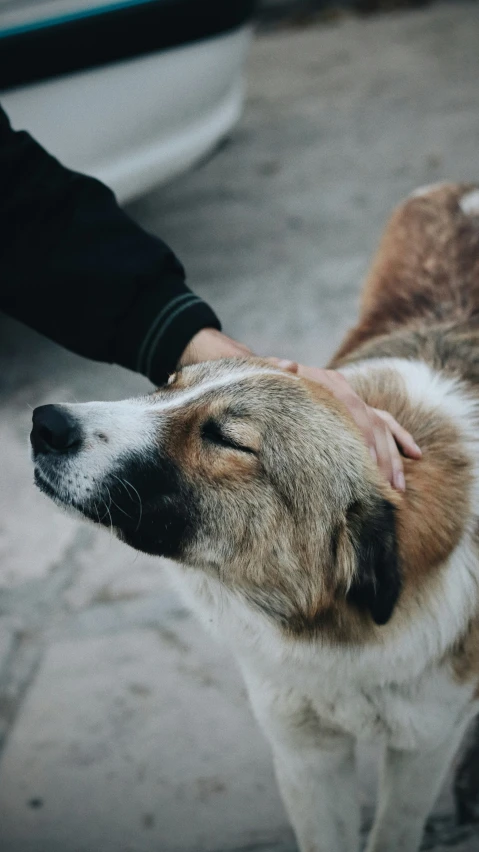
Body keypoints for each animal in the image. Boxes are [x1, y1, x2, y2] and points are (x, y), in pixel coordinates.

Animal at [31, 185, 479, 852]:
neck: (331, 635)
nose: (44, 424)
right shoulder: (303, 750)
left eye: (228, 439)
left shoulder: (422, 748)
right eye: (168, 382)